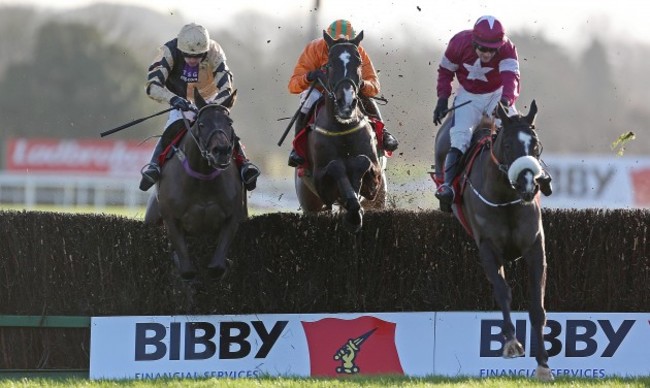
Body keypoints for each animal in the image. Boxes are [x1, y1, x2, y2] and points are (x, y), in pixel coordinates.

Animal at [144, 89, 246, 280]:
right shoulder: (171, 219)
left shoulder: (232, 217)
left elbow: (217, 267)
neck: (202, 181)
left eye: (229, 123)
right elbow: (187, 270)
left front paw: (225, 265)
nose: (221, 151)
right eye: (202, 124)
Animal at [436, 101, 552, 382]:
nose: (529, 184)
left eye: (535, 145)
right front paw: (511, 342)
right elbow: (502, 291)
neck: (506, 197)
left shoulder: (535, 247)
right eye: (508, 145)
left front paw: (543, 363)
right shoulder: (488, 247)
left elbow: (537, 305)